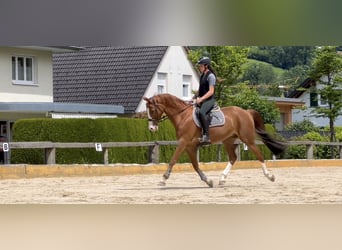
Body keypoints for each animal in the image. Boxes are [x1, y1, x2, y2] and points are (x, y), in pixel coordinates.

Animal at [144, 94, 286, 188]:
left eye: (152, 110)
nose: (151, 128)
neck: (182, 116)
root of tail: (246, 112)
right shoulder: (190, 146)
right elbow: (195, 165)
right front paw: (208, 181)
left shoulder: (183, 142)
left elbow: (173, 160)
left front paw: (163, 179)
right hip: (228, 140)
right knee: (233, 158)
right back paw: (222, 179)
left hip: (247, 139)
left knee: (259, 155)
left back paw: (270, 176)